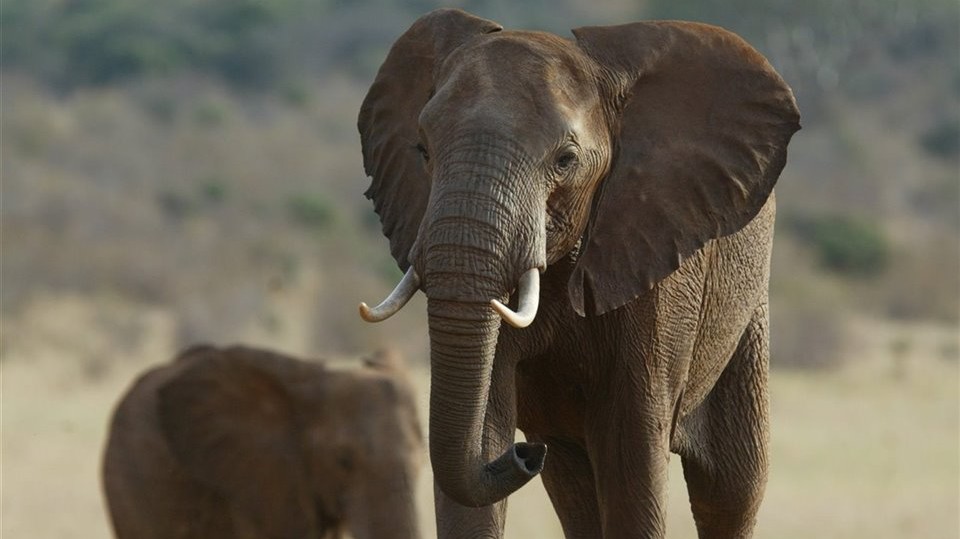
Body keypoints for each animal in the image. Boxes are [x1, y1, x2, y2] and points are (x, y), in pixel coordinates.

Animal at [356, 8, 800, 539]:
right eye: (422, 151)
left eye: (565, 161)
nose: (526, 455)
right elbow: (482, 434)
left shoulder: (655, 272)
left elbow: (633, 456)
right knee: (577, 492)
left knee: (731, 489)